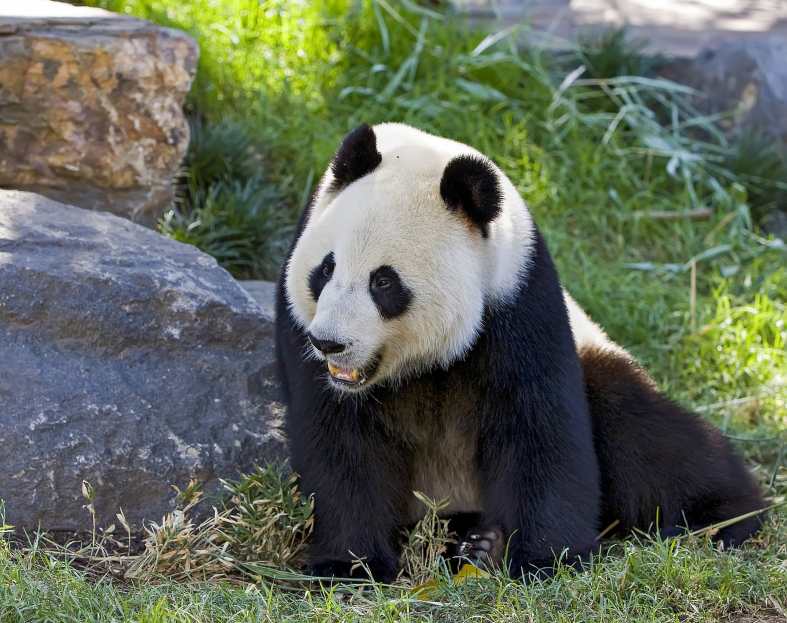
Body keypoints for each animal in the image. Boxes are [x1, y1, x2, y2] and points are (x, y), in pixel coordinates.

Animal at [275, 122, 765, 582]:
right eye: (326, 269)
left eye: (383, 282)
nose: (329, 342)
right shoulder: (301, 329)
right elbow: (340, 444)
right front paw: (349, 564)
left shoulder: (519, 299)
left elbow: (539, 427)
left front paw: (547, 559)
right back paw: (474, 543)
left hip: (598, 360)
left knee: (644, 437)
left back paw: (723, 516)